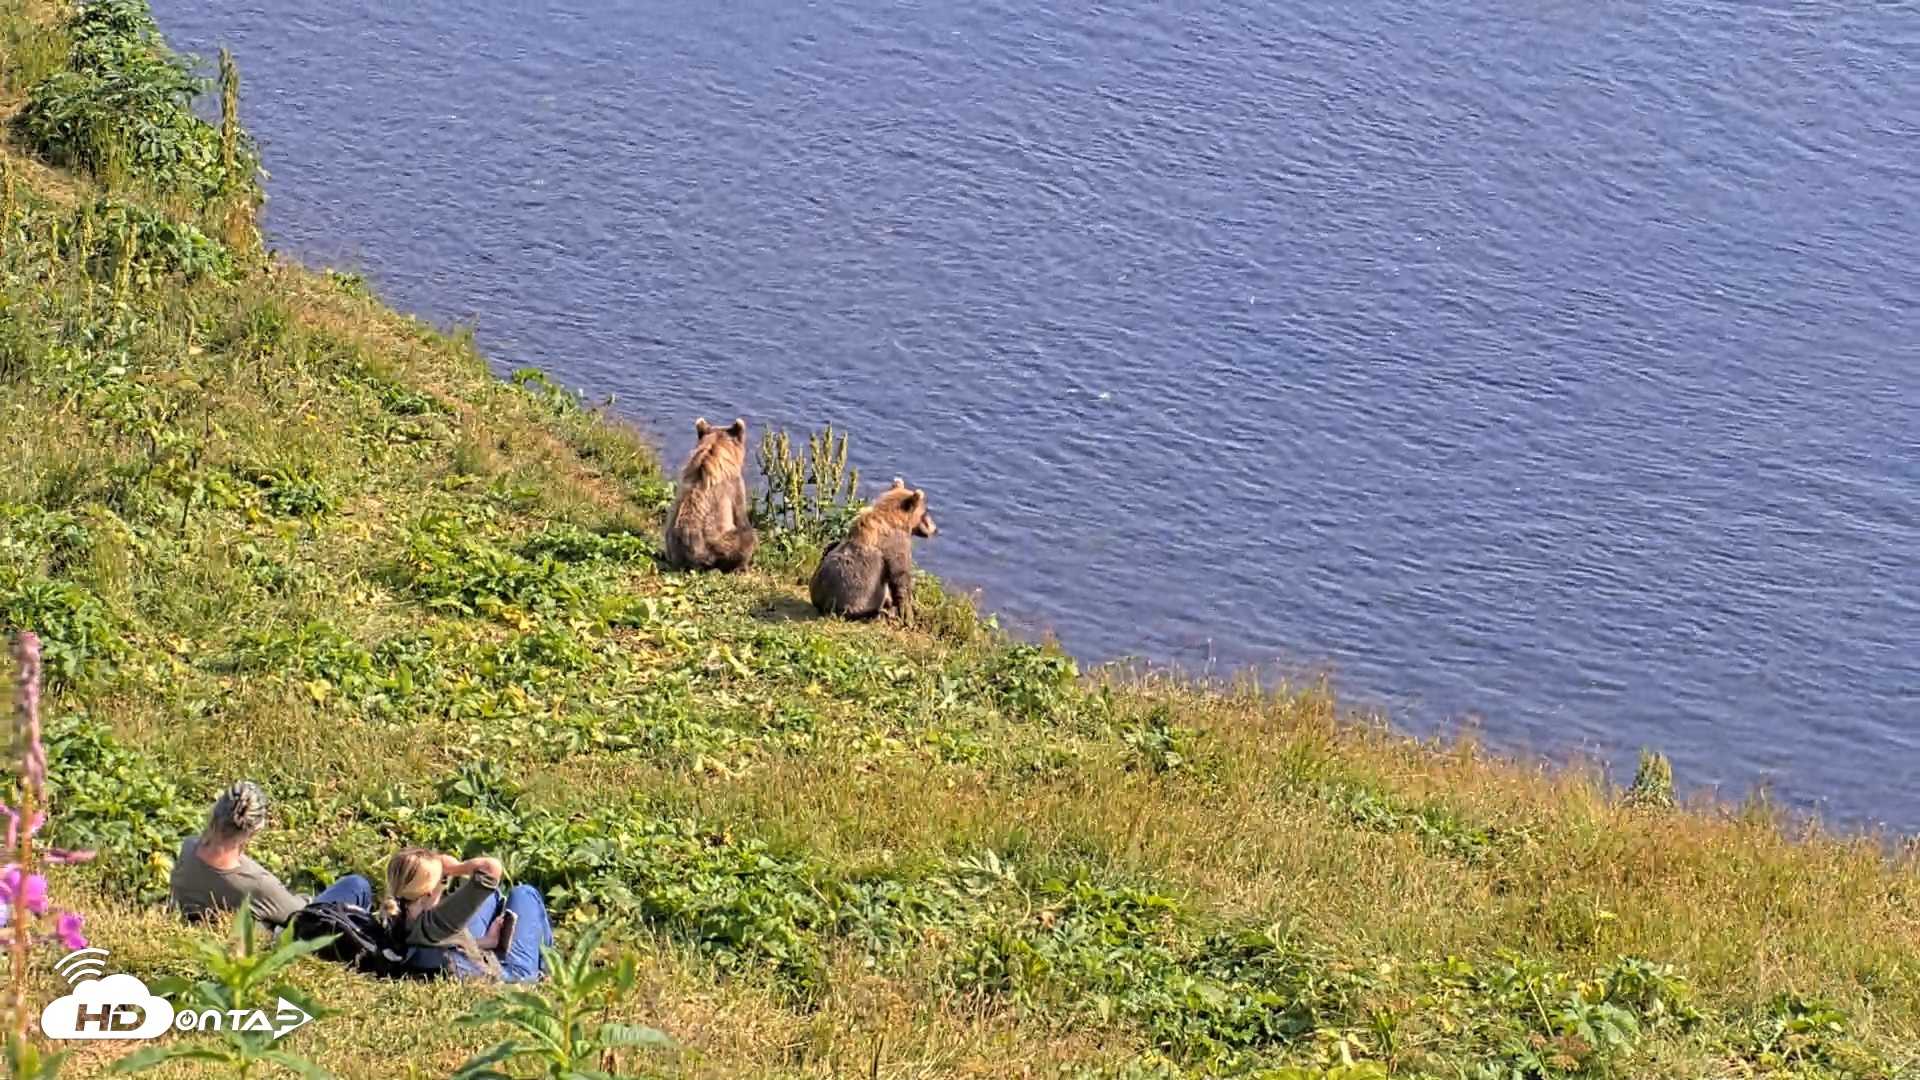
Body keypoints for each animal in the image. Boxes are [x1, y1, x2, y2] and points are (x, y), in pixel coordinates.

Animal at [809, 478, 938, 622]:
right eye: (925, 512)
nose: (935, 529)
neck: (894, 520)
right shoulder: (895, 544)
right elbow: (900, 577)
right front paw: (908, 616)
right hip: (858, 602)